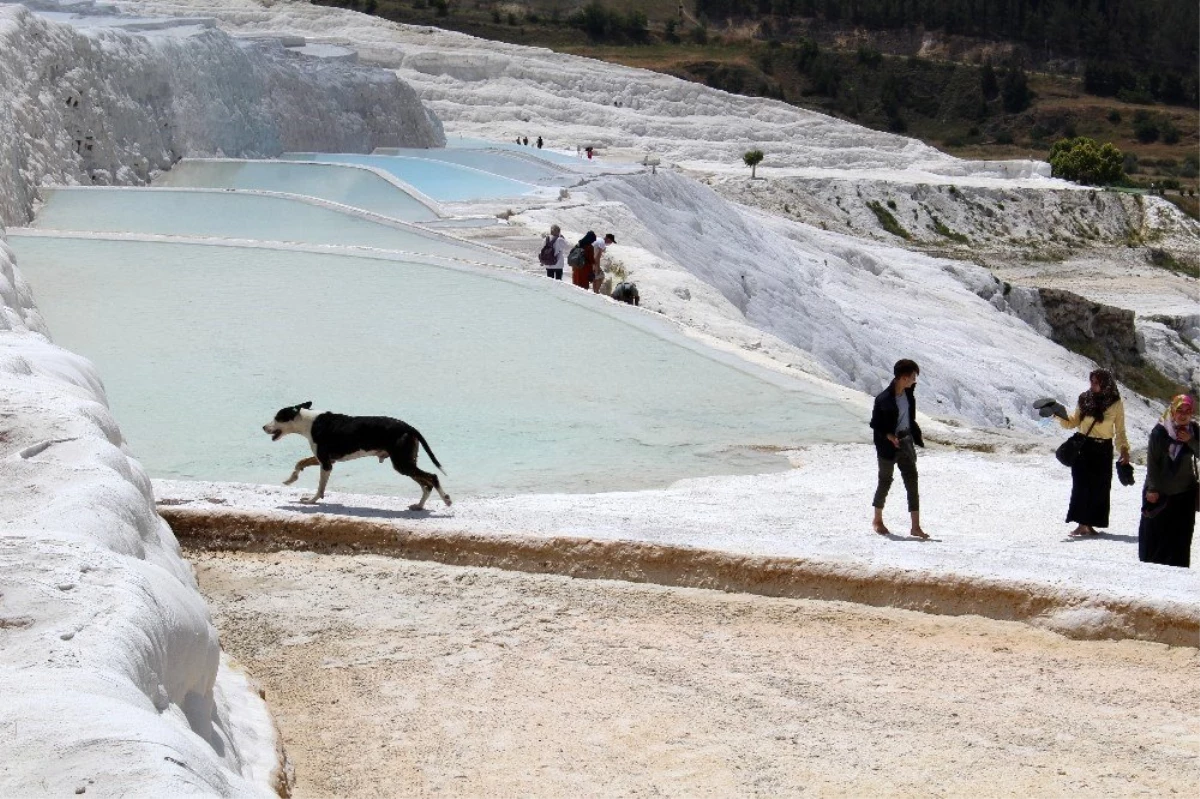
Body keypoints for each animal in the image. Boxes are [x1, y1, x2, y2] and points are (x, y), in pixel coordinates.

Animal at [261, 400, 451, 506]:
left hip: (402, 463)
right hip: (405, 463)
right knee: (426, 484)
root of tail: (409, 428)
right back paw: (419, 506)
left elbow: (320, 487)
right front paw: (291, 479)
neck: (309, 421)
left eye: (277, 417)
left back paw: (446, 500)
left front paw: (311, 501)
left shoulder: (326, 463)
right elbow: (300, 462)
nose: (263, 427)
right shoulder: (326, 460)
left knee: (432, 477)